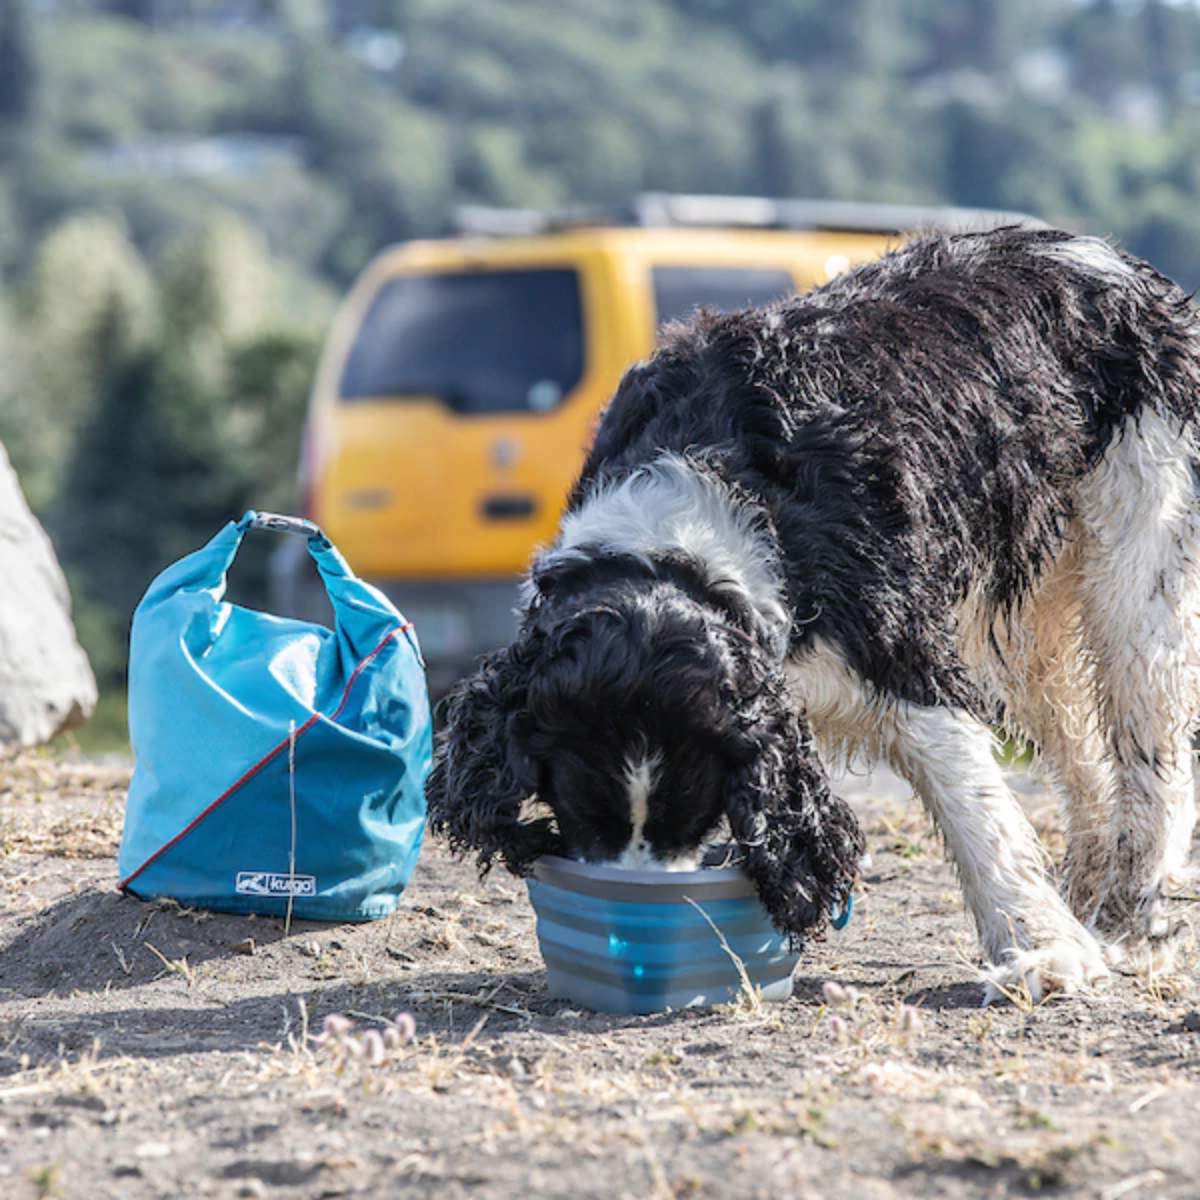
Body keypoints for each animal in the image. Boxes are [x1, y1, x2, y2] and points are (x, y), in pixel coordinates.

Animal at [424, 226, 1200, 1003]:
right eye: (583, 817)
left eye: (691, 814)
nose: (635, 911)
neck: (687, 530)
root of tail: (1110, 257)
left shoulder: (903, 658)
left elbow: (977, 810)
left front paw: (1042, 952)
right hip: (1028, 615)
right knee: (1084, 752)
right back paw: (1091, 894)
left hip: (1136, 561)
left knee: (1152, 749)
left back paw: (1130, 913)